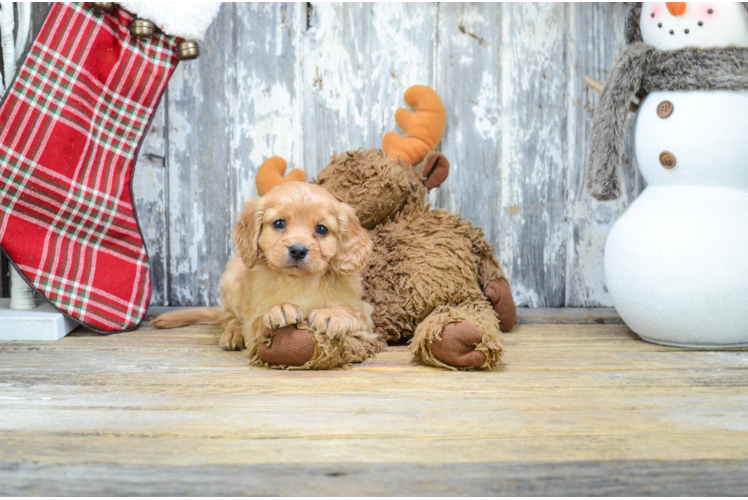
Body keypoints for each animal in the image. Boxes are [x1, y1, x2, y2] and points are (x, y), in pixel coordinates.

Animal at [152, 182, 376, 366]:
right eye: (279, 223)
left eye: (322, 229)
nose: (298, 250)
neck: (300, 282)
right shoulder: (254, 323)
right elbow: (258, 321)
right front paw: (279, 309)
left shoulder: (366, 318)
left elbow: (355, 312)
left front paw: (333, 314)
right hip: (231, 282)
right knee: (229, 317)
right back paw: (232, 334)